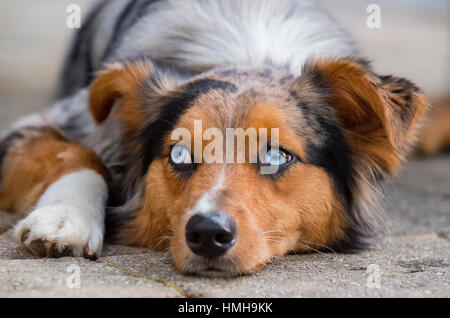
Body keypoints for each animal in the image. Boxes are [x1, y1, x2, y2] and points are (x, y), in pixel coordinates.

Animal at [0, 0, 428, 276]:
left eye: (277, 156)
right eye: (179, 154)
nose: (207, 233)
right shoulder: (44, 125)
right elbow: (81, 156)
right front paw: (64, 219)